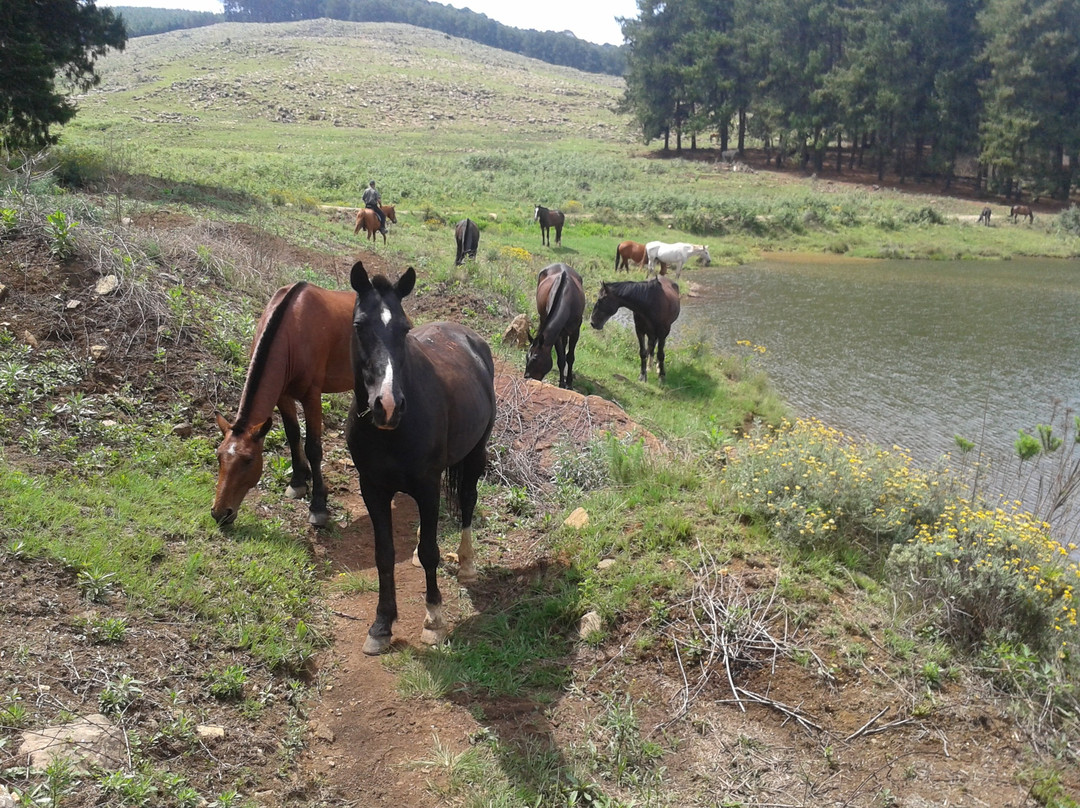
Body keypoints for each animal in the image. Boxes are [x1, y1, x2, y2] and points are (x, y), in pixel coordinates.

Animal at [212, 282, 354, 528]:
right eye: (219, 456)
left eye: (249, 460)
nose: (220, 513)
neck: (292, 330)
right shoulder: (283, 395)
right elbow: (293, 434)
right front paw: (298, 481)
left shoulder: (312, 396)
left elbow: (313, 447)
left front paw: (318, 505)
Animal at [345, 261, 496, 655]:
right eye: (359, 325)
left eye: (404, 328)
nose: (387, 405)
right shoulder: (372, 488)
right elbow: (384, 554)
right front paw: (381, 626)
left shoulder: (426, 485)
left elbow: (432, 551)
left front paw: (434, 621)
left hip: (476, 454)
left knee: (467, 502)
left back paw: (467, 564)